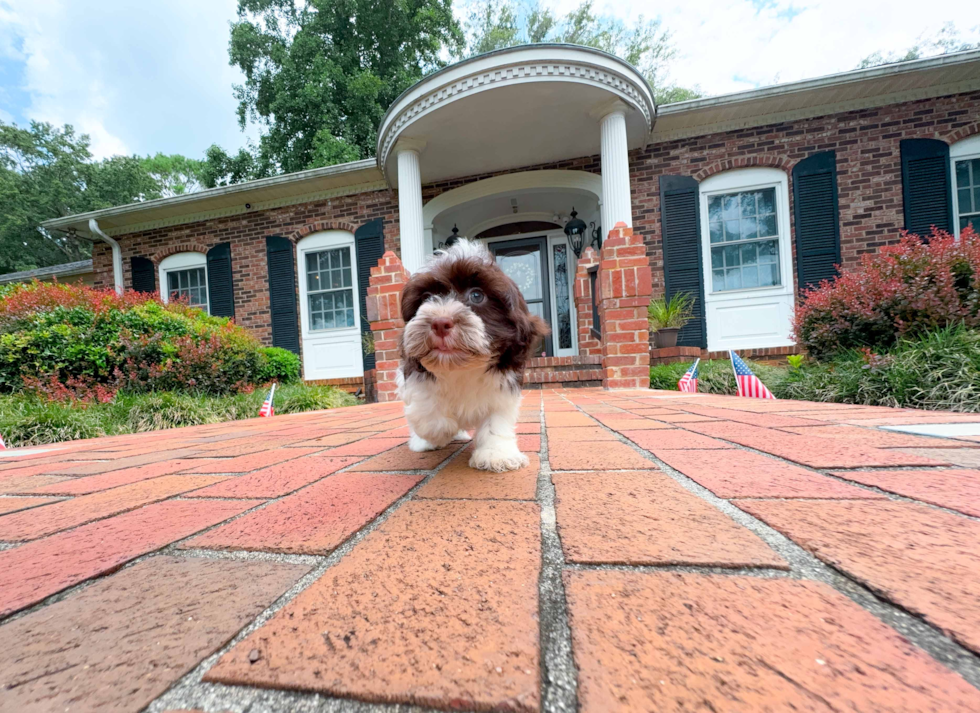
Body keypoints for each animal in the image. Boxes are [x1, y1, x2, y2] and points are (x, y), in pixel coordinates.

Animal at [398, 241, 552, 472]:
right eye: (425, 298)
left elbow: (497, 419)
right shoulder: (414, 375)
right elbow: (428, 409)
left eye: (477, 295)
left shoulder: (504, 385)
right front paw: (439, 431)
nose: (440, 322)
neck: (461, 367)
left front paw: (496, 454)